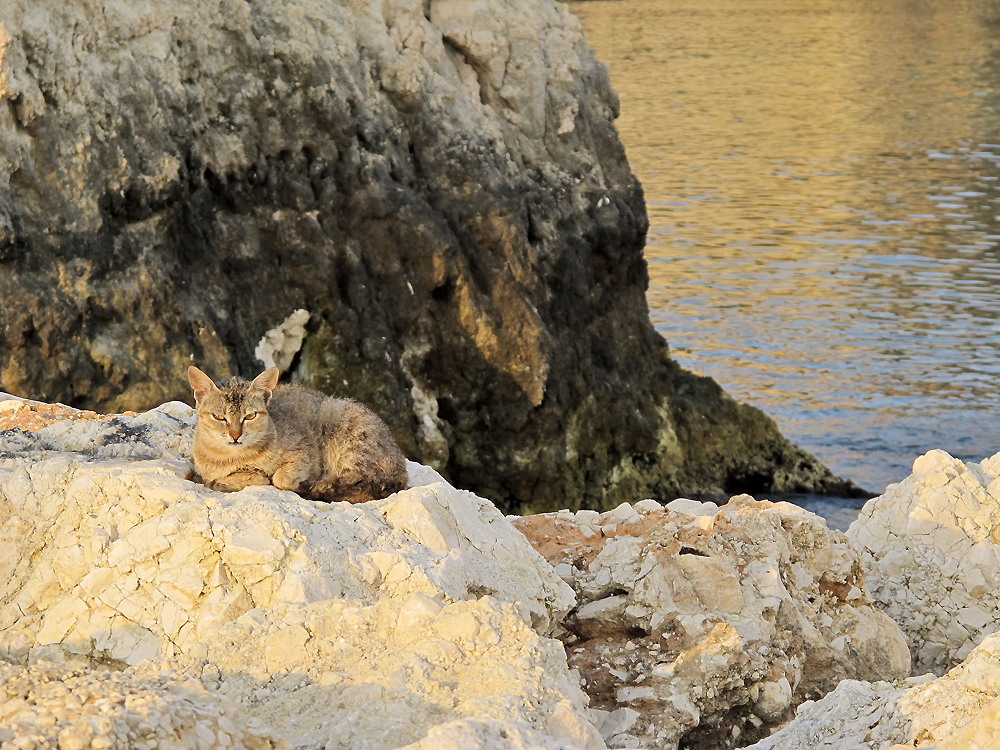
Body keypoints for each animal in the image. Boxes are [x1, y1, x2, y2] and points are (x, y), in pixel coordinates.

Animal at [188, 366, 406, 506]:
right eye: (219, 416)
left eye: (250, 416)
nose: (235, 435)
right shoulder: (206, 473)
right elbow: (216, 479)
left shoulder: (306, 453)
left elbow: (281, 478)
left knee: (359, 485)